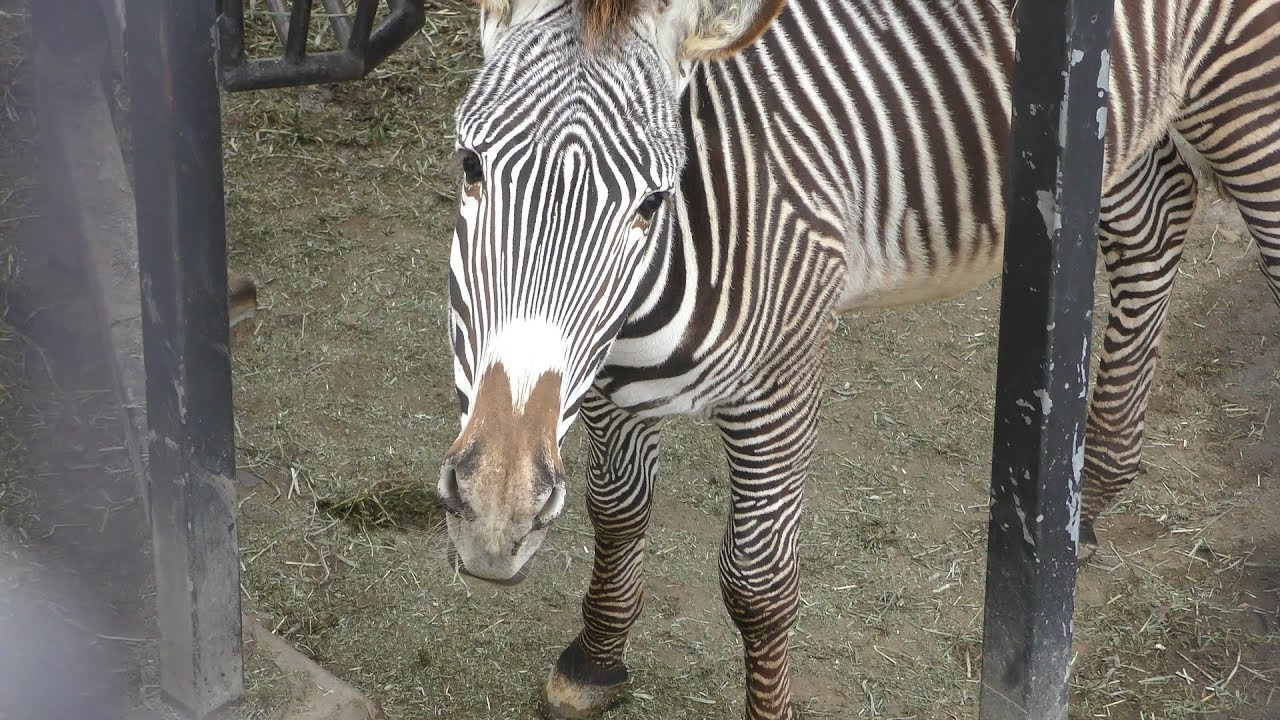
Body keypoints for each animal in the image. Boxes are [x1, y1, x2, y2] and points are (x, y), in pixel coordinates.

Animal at [434, 0, 1280, 717]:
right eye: (470, 167)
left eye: (652, 202)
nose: (496, 514)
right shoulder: (609, 385)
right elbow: (616, 511)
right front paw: (595, 660)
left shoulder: (780, 387)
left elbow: (756, 584)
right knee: (1155, 217)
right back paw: (1089, 495)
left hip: (1244, 85)